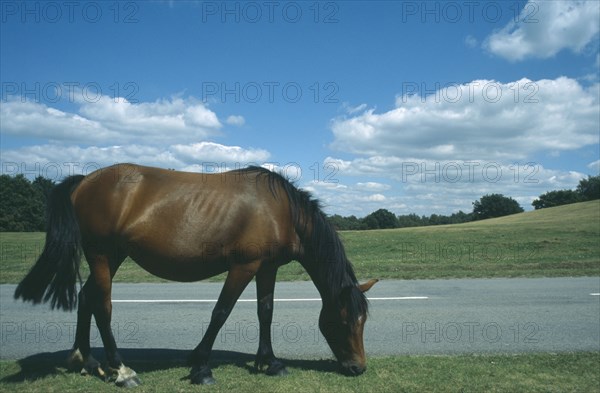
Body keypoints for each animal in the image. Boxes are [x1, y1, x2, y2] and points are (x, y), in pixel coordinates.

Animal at [14, 162, 378, 386]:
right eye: (345, 320)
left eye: (364, 321)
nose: (358, 367)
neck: (281, 210)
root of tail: (85, 180)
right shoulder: (243, 267)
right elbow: (221, 312)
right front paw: (201, 366)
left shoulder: (267, 268)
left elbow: (266, 312)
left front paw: (270, 362)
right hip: (103, 255)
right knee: (102, 307)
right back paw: (121, 370)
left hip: (113, 257)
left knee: (87, 297)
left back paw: (87, 360)